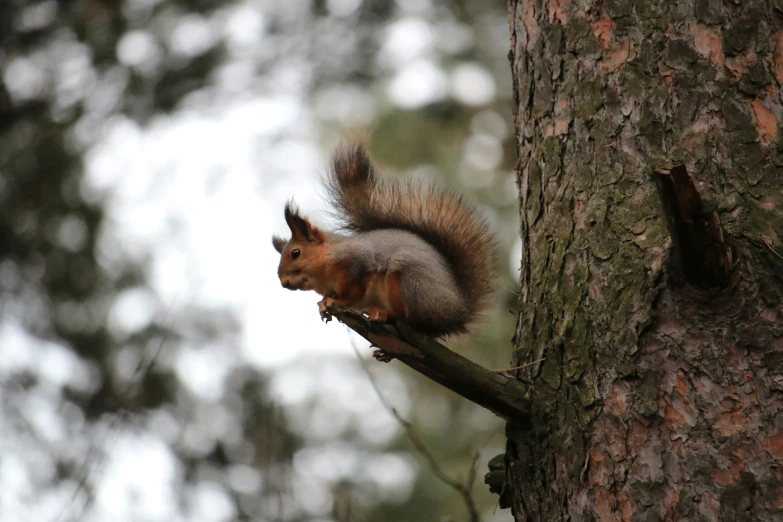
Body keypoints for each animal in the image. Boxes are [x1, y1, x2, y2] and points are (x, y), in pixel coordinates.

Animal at [272, 142, 500, 338]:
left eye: (295, 253)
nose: (283, 283)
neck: (324, 267)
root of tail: (458, 310)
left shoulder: (356, 262)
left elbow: (353, 293)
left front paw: (335, 300)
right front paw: (322, 304)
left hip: (409, 282)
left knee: (410, 318)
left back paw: (384, 313)